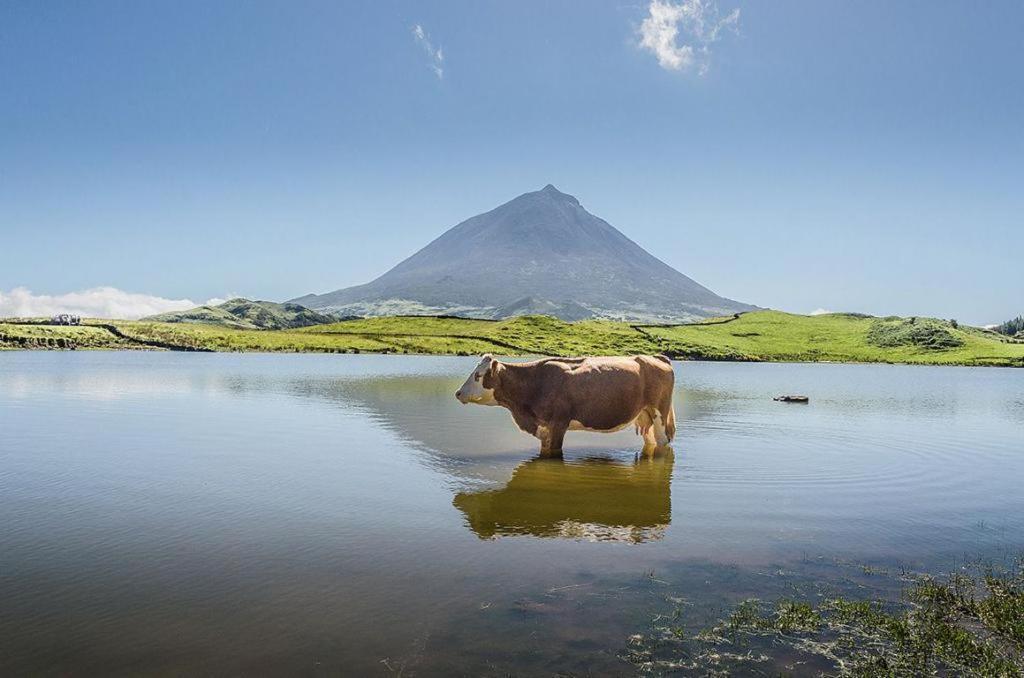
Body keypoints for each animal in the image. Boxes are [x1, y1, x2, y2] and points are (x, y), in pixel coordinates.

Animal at [454, 356, 675, 456]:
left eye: (478, 375)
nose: (457, 393)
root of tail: (655, 357)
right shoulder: (544, 427)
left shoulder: (559, 423)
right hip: (645, 416)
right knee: (651, 441)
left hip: (660, 414)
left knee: (663, 442)